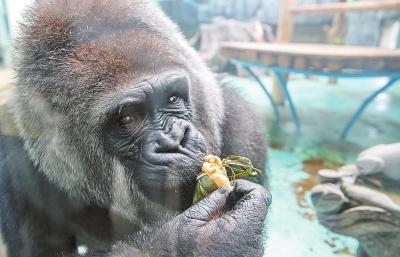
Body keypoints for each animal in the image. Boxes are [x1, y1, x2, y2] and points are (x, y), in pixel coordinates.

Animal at [0, 1, 272, 255]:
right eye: (127, 118)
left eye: (172, 99)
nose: (175, 142)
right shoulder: (15, 160)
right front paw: (206, 238)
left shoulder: (243, 125)